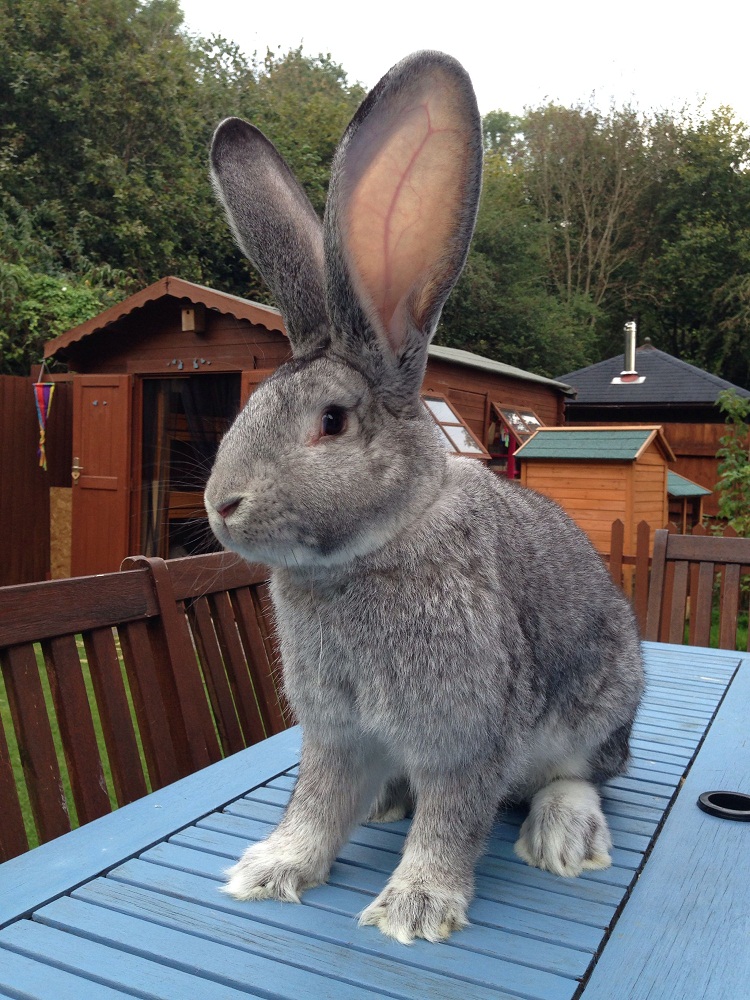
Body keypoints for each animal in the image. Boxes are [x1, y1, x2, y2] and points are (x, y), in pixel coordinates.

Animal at [204, 50, 648, 944]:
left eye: (332, 422)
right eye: (252, 403)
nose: (220, 505)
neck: (368, 551)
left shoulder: (466, 733)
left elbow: (452, 820)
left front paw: (413, 910)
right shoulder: (334, 731)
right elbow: (317, 804)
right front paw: (268, 870)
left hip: (601, 703)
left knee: (584, 774)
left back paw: (562, 835)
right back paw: (387, 801)